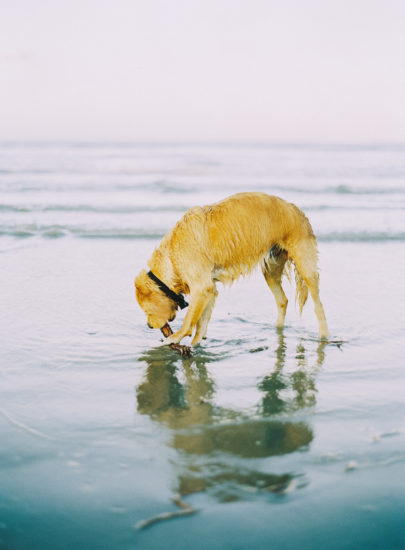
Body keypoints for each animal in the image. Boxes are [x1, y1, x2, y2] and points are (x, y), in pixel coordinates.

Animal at [136, 194, 328, 348]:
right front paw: (196, 345)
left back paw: (324, 336)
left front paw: (174, 338)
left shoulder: (201, 288)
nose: (149, 326)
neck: (171, 256)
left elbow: (189, 321)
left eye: (146, 311)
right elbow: (201, 324)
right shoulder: (210, 290)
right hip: (271, 269)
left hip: (305, 266)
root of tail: (296, 209)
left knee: (318, 305)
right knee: (282, 300)